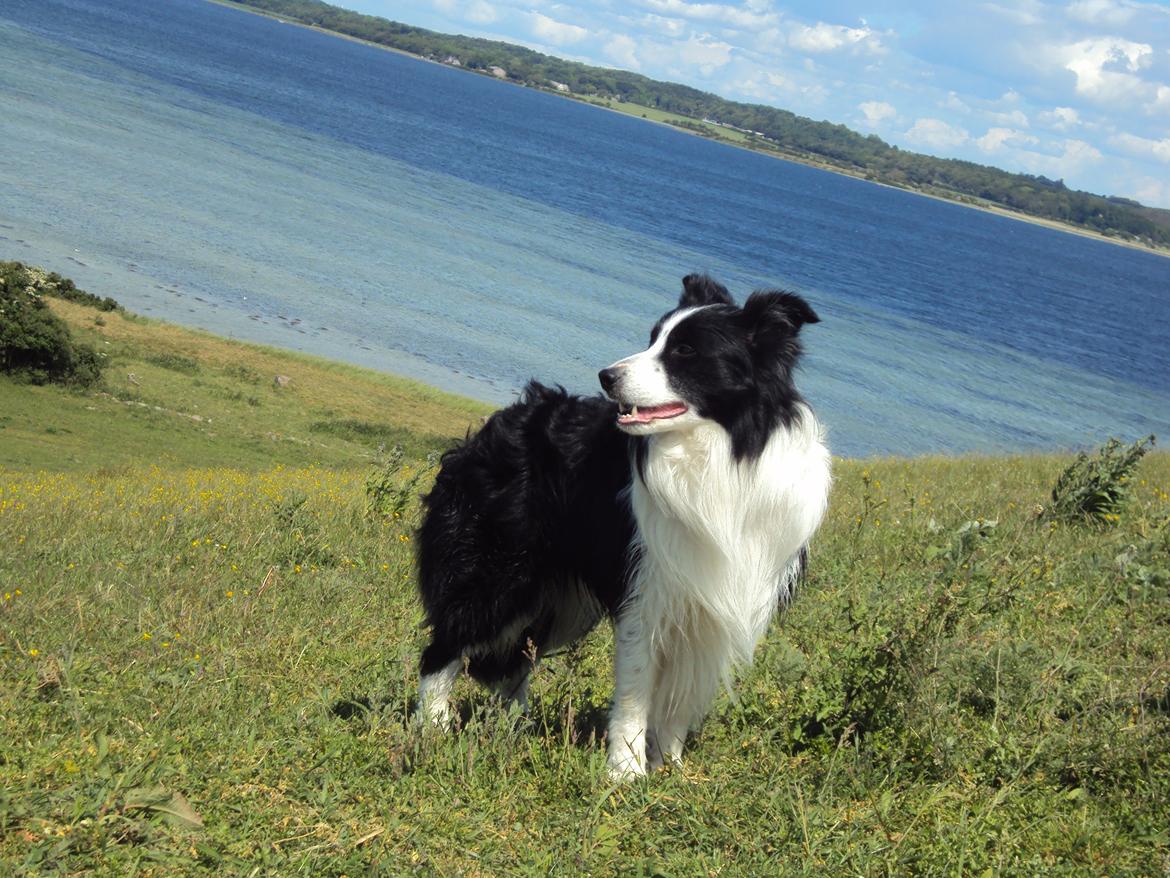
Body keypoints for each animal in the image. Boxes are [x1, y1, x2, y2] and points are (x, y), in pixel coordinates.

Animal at [416, 273, 828, 777]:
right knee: (446, 646)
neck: (719, 452)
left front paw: (671, 771)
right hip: (498, 573)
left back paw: (513, 731)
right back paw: (433, 728)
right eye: (652, 339)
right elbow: (636, 692)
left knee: (513, 664)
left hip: (558, 600)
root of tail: (502, 420)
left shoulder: (712, 604)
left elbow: (679, 700)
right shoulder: (646, 592)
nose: (606, 376)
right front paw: (625, 772)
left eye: (685, 351)